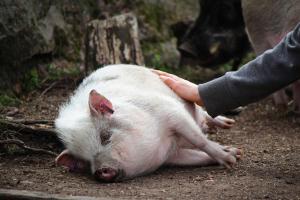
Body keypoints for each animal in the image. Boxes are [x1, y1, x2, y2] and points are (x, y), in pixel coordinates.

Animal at [54, 65, 241, 182]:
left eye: (105, 136)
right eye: (85, 162)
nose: (100, 171)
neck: (160, 143)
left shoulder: (171, 111)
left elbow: (199, 140)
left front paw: (231, 158)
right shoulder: (172, 155)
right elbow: (199, 157)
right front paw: (236, 153)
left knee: (204, 113)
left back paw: (228, 123)